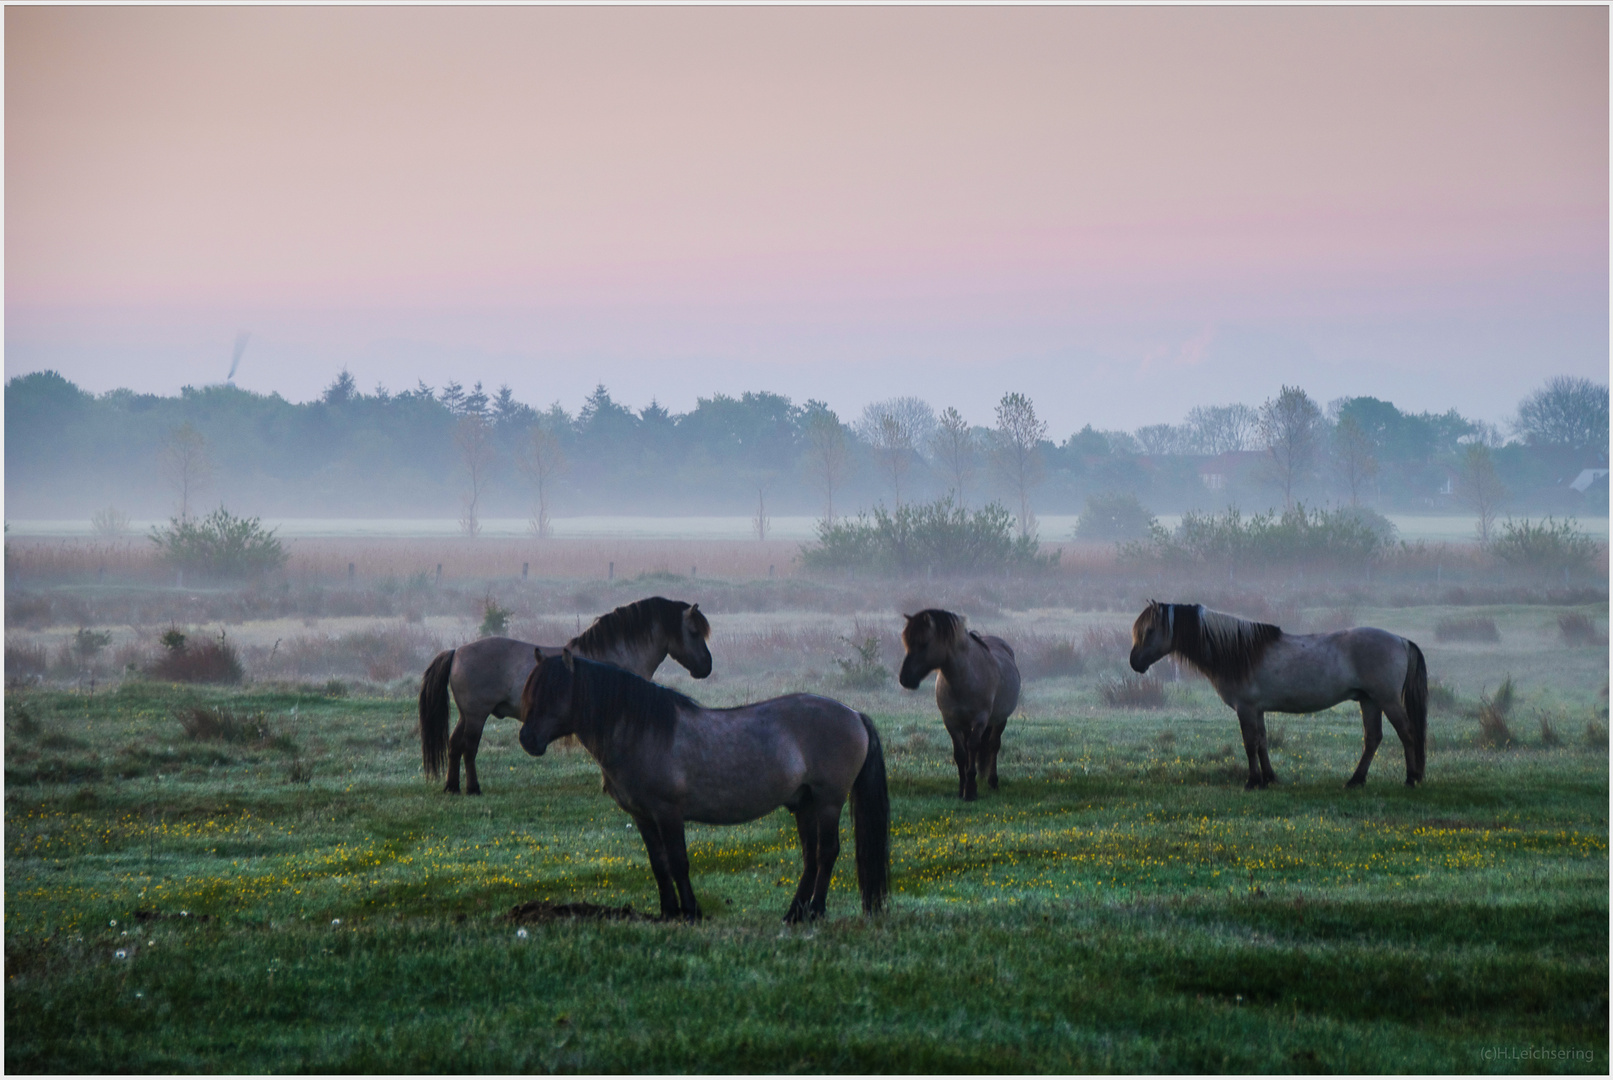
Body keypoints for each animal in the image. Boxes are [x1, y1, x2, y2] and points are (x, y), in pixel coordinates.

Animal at [422, 599, 712, 796]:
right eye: (694, 632)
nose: (707, 666)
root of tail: (457, 651)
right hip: (476, 716)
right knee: (469, 747)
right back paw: (473, 788)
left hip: (466, 715)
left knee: (454, 745)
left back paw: (452, 787)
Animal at [519, 648, 890, 928]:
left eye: (556, 691)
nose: (527, 739)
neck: (643, 733)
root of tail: (854, 714)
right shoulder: (642, 816)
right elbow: (659, 863)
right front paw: (668, 912)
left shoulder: (668, 812)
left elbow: (678, 862)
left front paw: (691, 913)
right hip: (805, 803)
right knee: (811, 856)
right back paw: (794, 914)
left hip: (829, 801)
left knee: (826, 853)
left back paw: (815, 912)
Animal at [896, 609, 1019, 802]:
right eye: (907, 642)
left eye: (923, 643)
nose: (905, 679)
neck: (963, 679)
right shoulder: (951, 721)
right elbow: (960, 754)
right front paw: (962, 788)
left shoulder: (980, 720)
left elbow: (973, 746)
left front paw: (971, 790)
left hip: (1000, 720)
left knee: (993, 746)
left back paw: (992, 781)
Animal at [1129, 606, 1432, 789]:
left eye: (1150, 631)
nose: (1134, 662)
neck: (1239, 651)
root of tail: (1400, 639)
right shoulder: (1257, 710)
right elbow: (1263, 742)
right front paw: (1269, 778)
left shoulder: (1246, 709)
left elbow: (1250, 743)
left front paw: (1252, 781)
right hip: (1369, 701)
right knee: (1372, 738)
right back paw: (1355, 780)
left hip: (1387, 700)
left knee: (1406, 733)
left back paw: (1411, 778)